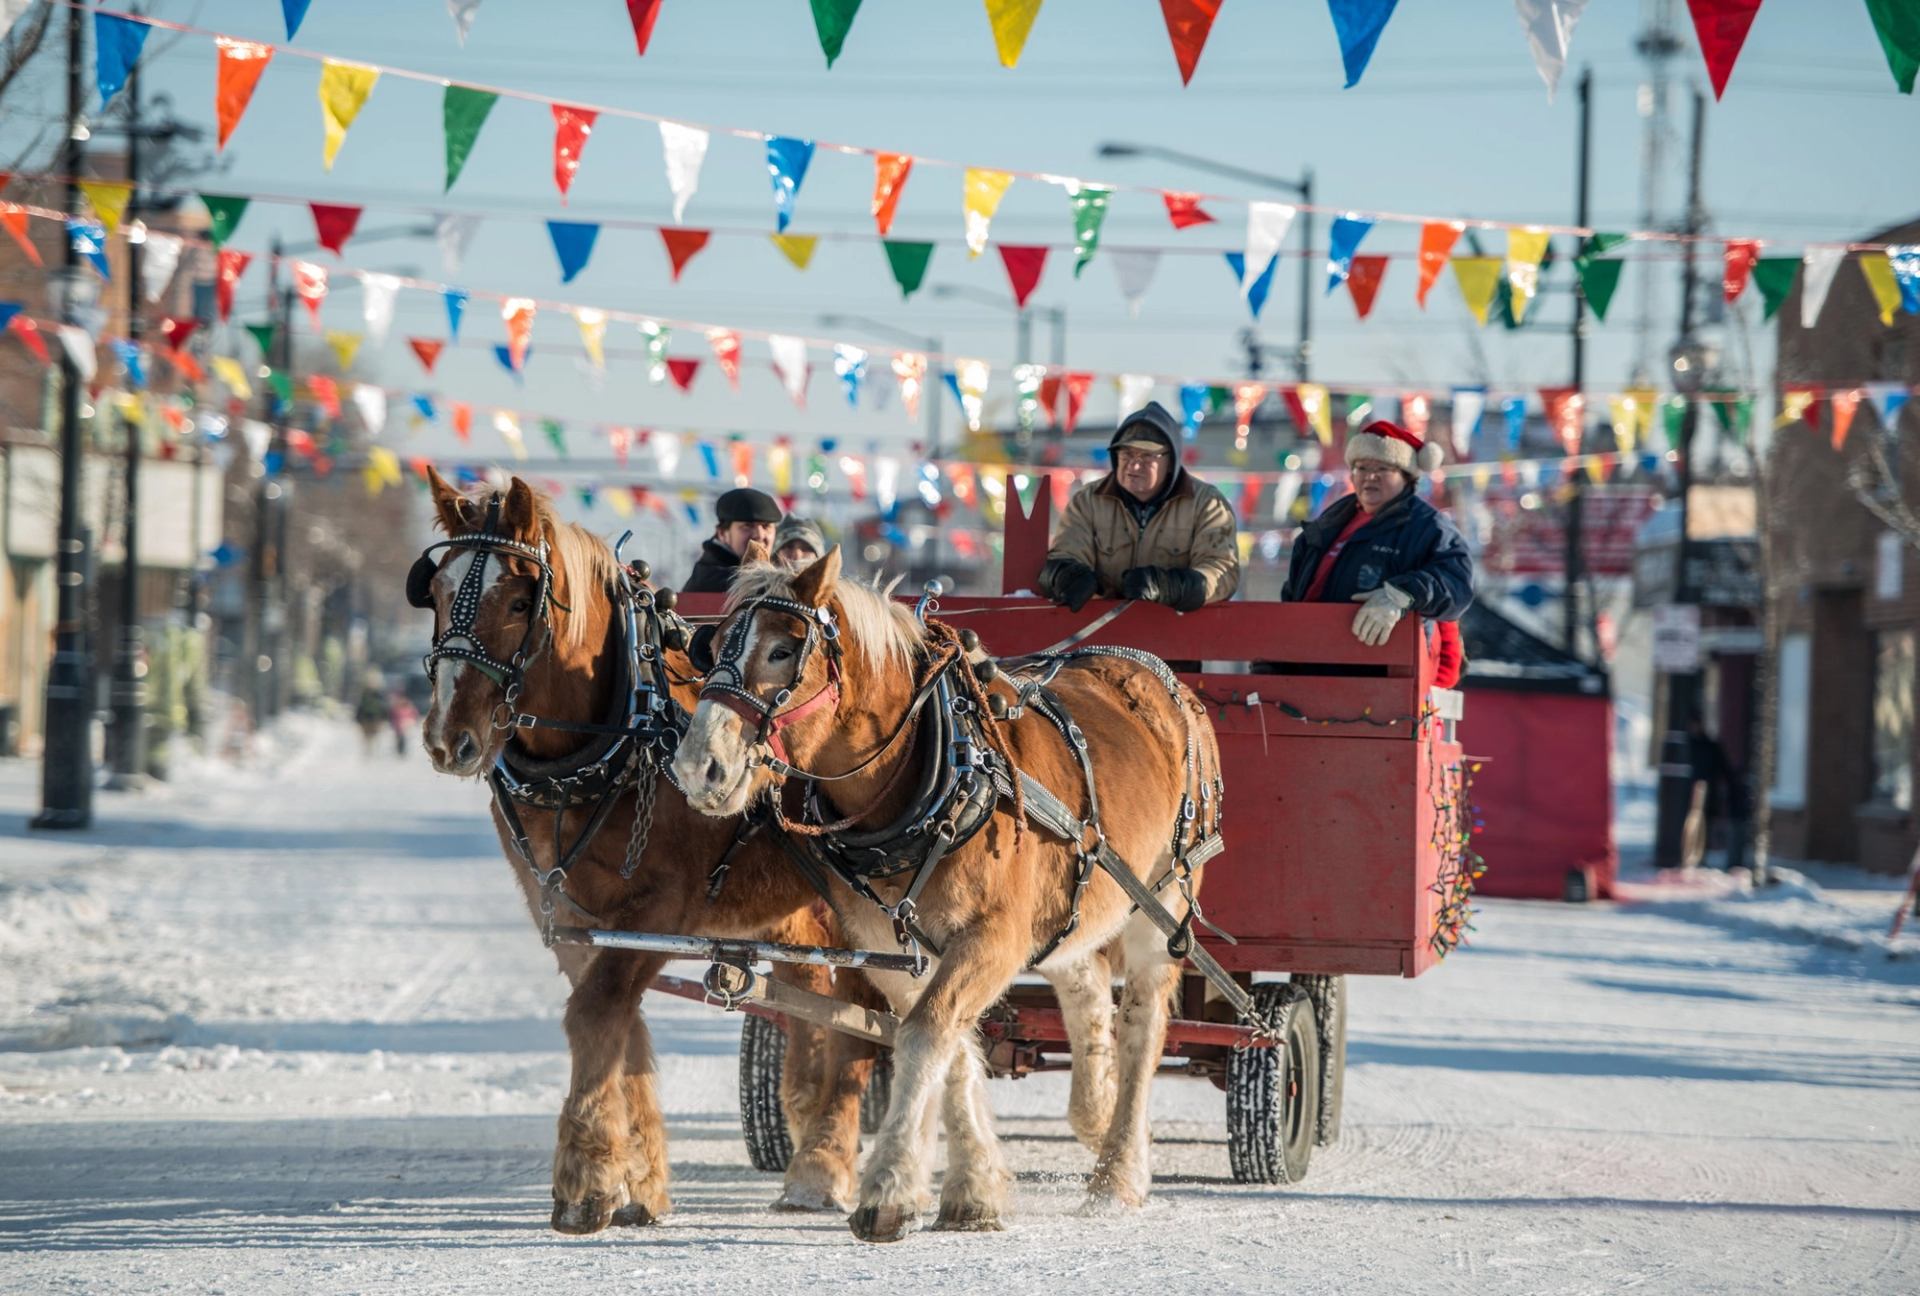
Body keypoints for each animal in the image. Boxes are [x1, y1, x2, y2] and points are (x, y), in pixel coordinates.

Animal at [416, 474, 879, 1236]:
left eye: (518, 601)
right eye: (433, 590)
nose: (448, 738)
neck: (616, 741)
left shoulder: (660, 909)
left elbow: (596, 1014)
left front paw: (585, 1179)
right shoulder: (576, 919)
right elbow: (616, 1027)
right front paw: (639, 1179)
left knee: (861, 1019)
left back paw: (823, 1163)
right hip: (799, 915)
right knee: (817, 1003)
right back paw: (807, 1132)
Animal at [668, 549, 1221, 1244]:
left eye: (781, 650)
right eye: (711, 647)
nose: (697, 767)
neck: (931, 781)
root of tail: (1160, 676)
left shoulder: (993, 938)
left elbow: (926, 1035)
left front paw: (886, 1192)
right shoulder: (891, 946)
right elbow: (949, 1045)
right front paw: (973, 1189)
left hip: (1163, 899)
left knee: (1143, 1023)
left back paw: (1117, 1173)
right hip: (1072, 907)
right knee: (1086, 982)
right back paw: (1095, 1112)